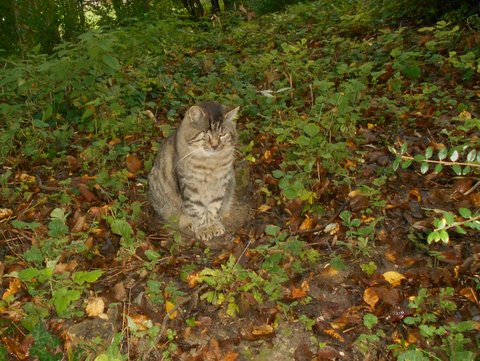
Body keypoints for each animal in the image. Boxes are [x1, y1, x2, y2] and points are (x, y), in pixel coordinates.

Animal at [148, 101, 240, 240]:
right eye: (206, 135)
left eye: (222, 135)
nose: (215, 146)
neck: (210, 164)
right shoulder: (190, 187)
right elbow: (197, 210)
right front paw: (203, 229)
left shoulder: (220, 185)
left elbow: (214, 208)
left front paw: (214, 225)